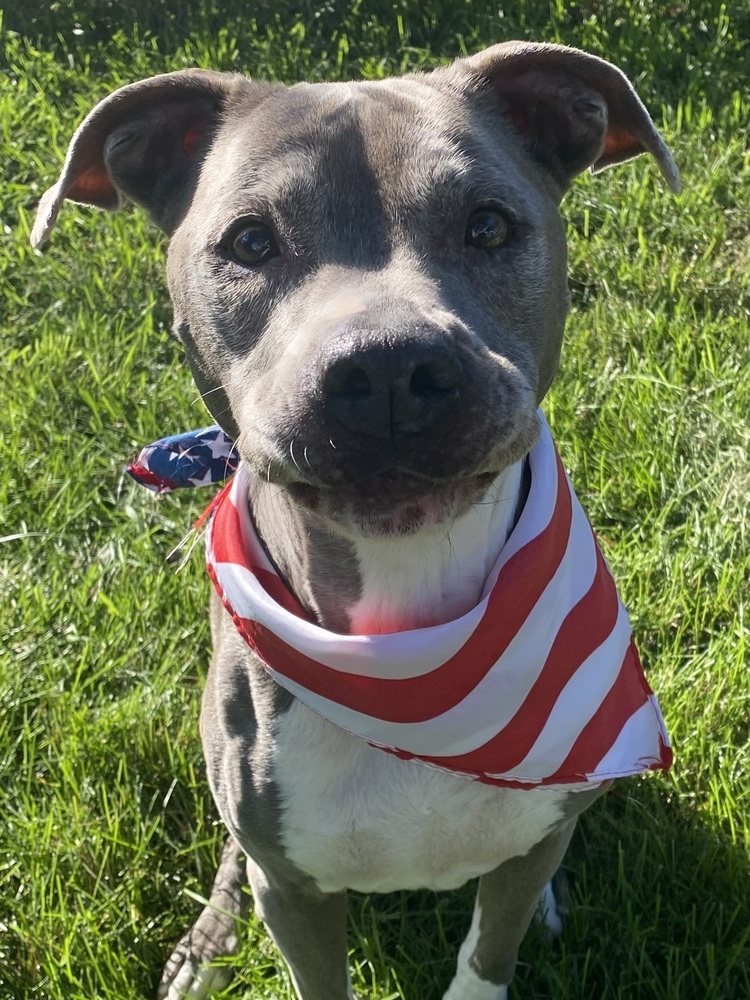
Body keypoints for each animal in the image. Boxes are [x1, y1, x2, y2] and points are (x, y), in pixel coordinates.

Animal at [32, 41, 680, 1000]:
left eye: (488, 226)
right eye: (249, 241)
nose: (387, 369)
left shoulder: (525, 849)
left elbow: (487, 950)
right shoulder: (296, 894)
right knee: (234, 857)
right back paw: (208, 942)